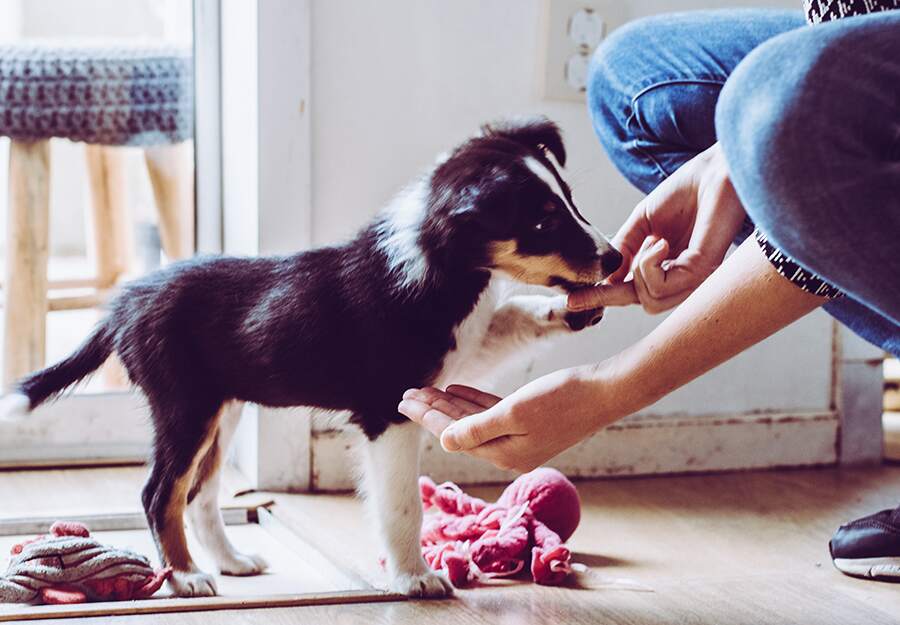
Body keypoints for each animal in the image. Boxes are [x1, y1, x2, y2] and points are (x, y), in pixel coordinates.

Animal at [1, 118, 620, 600]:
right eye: (542, 222)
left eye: (569, 201)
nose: (614, 259)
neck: (438, 263)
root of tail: (124, 304)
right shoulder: (389, 413)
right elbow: (402, 507)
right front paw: (415, 579)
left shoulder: (458, 349)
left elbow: (510, 315)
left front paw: (569, 311)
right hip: (184, 407)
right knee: (160, 494)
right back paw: (184, 578)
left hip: (220, 410)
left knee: (198, 494)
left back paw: (230, 561)